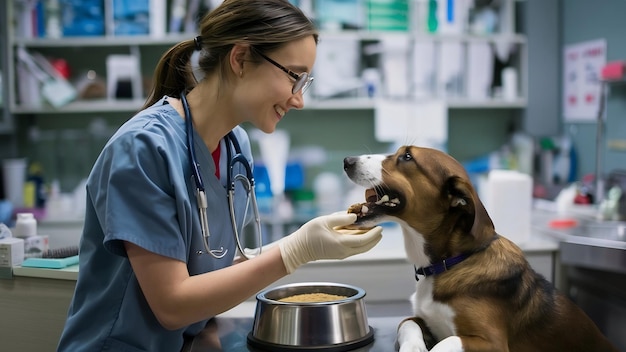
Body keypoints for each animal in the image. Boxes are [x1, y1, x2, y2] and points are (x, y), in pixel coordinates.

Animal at [342, 146, 616, 352]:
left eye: (407, 157)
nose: (347, 160)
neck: (448, 263)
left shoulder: (492, 342)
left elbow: (449, 341)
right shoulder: (419, 318)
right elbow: (407, 325)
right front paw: (414, 348)